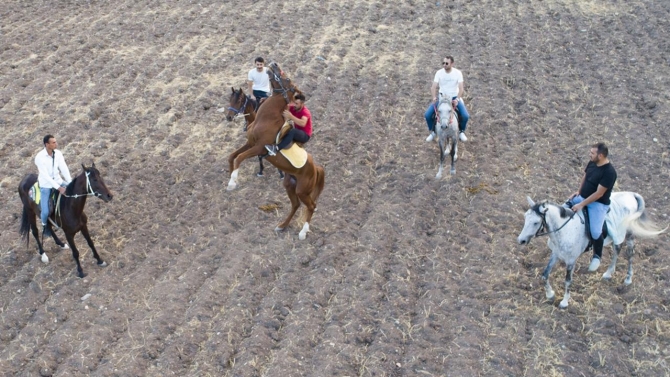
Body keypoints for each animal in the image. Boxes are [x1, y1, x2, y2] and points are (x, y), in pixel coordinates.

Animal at [227, 61, 326, 238]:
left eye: (286, 78)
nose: (273, 64)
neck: (265, 118)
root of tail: (316, 169)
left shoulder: (259, 148)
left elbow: (239, 158)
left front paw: (232, 181)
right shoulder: (251, 144)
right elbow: (233, 157)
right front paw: (231, 178)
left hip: (302, 190)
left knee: (311, 206)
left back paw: (303, 233)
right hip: (289, 184)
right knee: (295, 205)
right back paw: (282, 225)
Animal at [520, 191, 668, 308]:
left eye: (535, 222)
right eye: (525, 217)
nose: (521, 240)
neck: (565, 228)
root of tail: (632, 195)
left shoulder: (571, 261)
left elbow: (568, 281)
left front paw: (564, 302)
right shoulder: (555, 254)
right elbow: (544, 275)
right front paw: (550, 295)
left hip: (629, 234)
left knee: (629, 253)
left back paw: (628, 279)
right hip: (617, 235)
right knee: (617, 249)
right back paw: (608, 273)